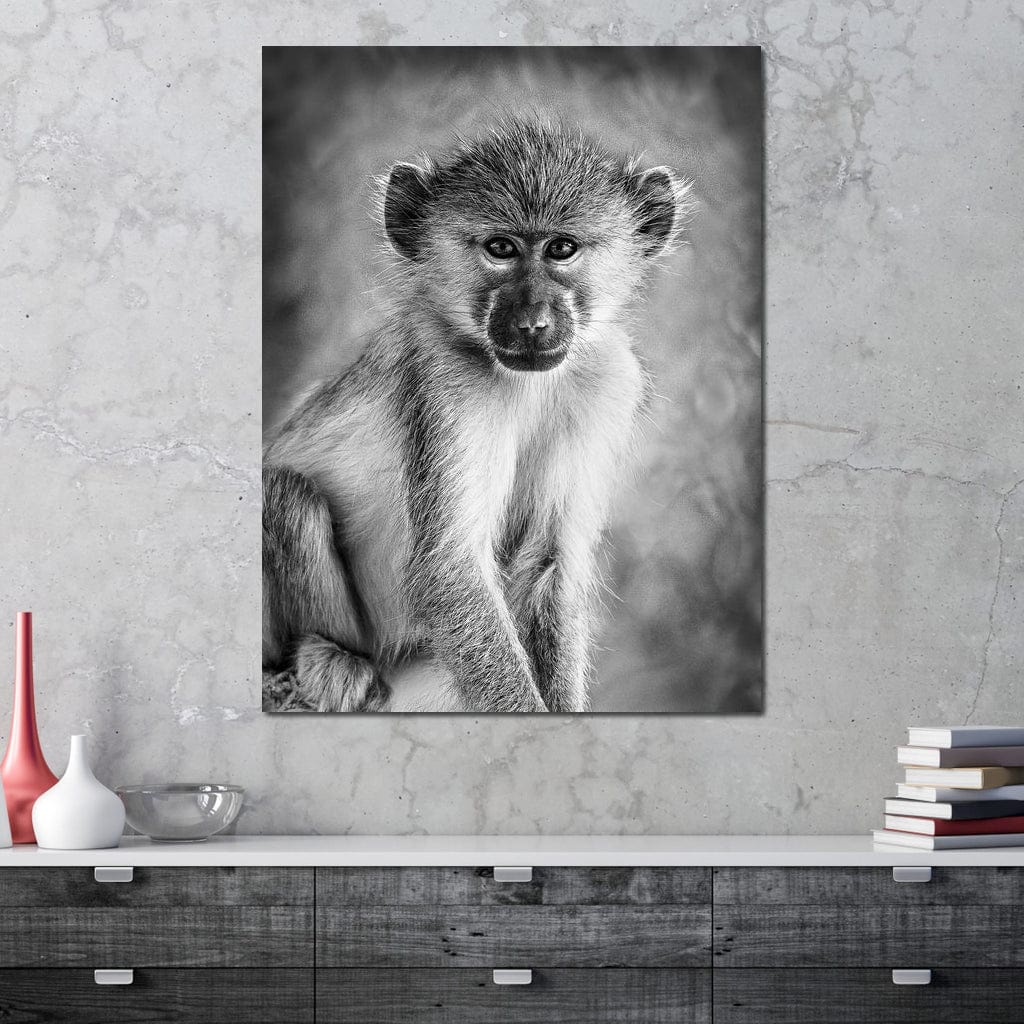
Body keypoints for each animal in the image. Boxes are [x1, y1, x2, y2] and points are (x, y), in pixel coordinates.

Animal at [262, 116, 692, 713]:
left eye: (562, 248)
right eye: (500, 248)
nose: (532, 323)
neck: (529, 384)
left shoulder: (609, 380)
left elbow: (549, 562)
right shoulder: (448, 380)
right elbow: (451, 570)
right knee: (286, 495)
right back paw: (327, 654)